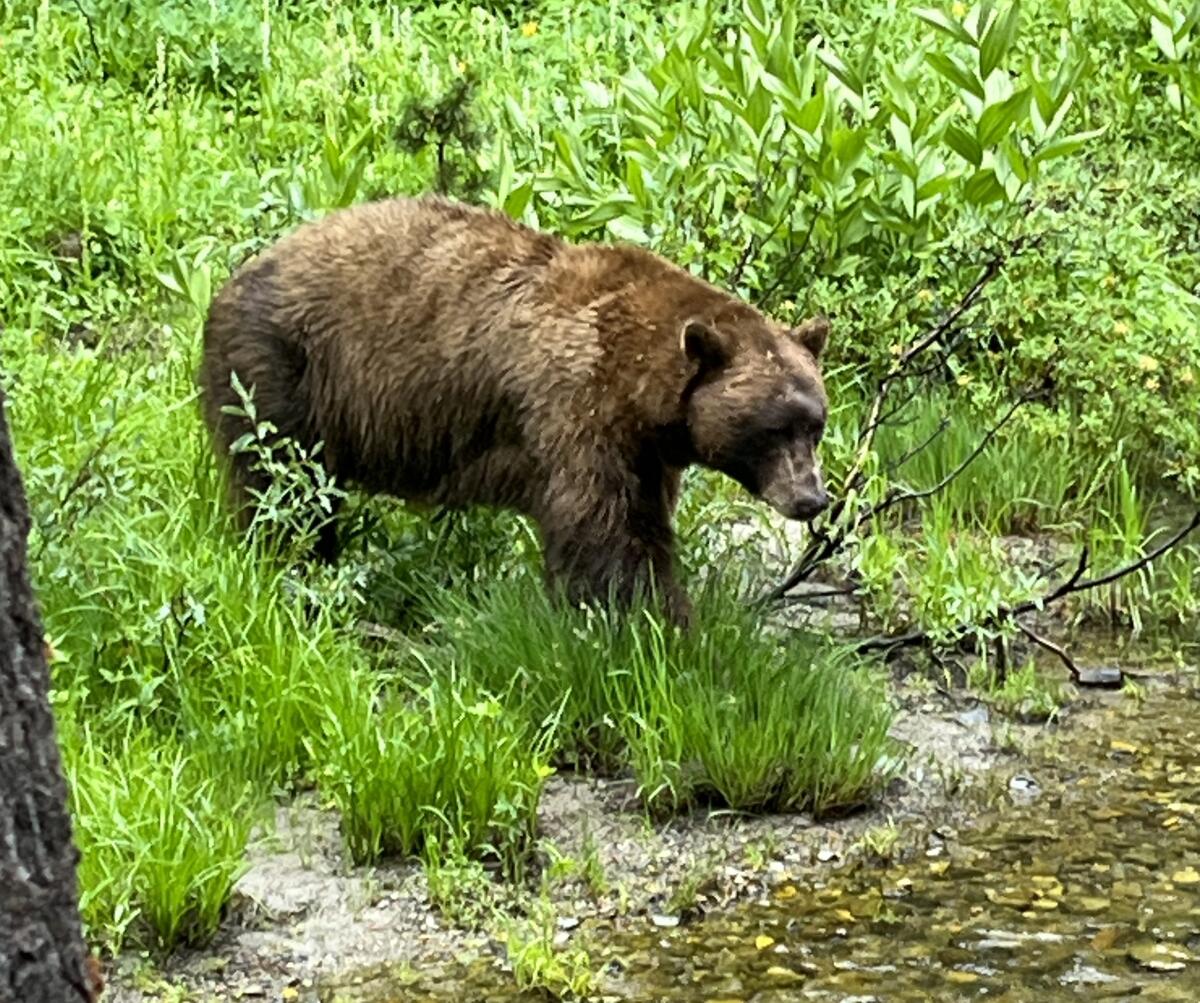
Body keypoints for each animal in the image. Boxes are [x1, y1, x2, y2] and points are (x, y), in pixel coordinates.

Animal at [199, 191, 835, 623]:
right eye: (773, 428)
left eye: (816, 425)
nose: (811, 498)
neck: (641, 386)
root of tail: (229, 280)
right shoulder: (577, 407)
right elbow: (607, 532)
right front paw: (655, 619)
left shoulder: (648, 452)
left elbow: (639, 522)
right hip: (282, 370)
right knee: (286, 487)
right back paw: (297, 565)